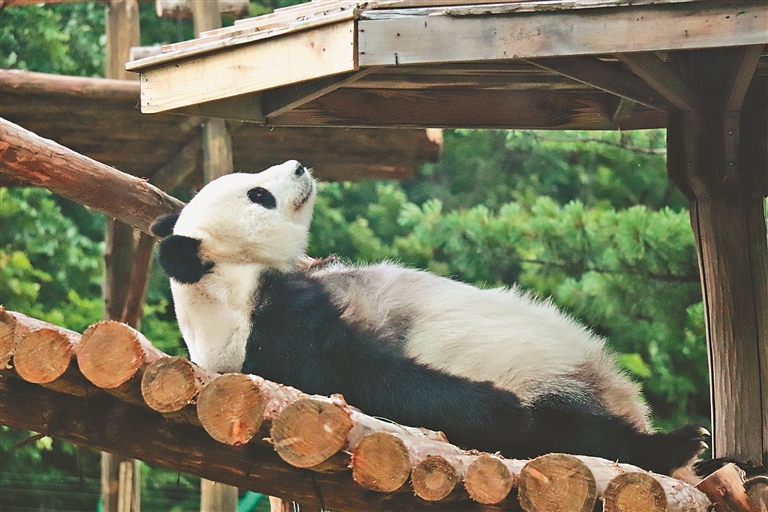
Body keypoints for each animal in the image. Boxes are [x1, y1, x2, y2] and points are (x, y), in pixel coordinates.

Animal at [152, 159, 708, 476]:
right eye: (258, 196)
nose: (298, 165)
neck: (228, 287)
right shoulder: (282, 336)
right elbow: (378, 379)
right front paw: (503, 407)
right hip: (555, 395)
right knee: (571, 433)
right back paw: (675, 445)